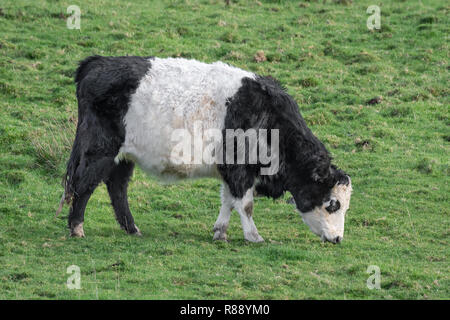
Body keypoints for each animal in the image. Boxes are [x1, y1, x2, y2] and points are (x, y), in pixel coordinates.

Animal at [59, 56, 354, 244]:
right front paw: (254, 237)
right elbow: (245, 205)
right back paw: (76, 228)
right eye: (333, 204)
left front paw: (220, 232)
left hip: (124, 157)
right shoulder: (239, 170)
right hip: (100, 150)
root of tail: (96, 62)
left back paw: (132, 228)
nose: (338, 239)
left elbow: (228, 202)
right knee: (84, 184)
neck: (269, 119)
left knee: (117, 188)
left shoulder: (230, 171)